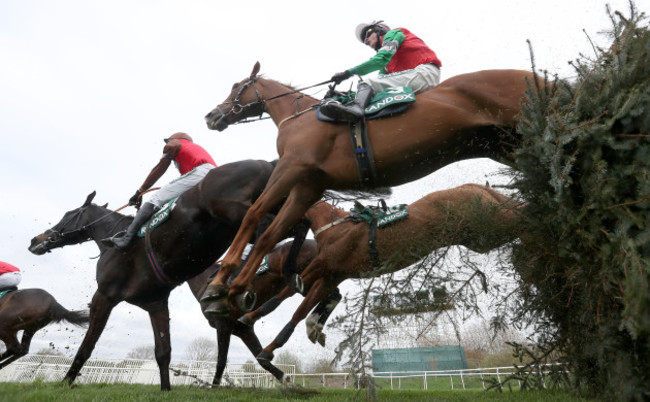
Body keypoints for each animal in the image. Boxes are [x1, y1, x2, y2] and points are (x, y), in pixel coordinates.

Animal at [26, 159, 304, 390]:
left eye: (68, 214)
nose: (34, 240)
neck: (111, 238)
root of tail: (265, 163)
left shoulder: (104, 295)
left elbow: (88, 344)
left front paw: (66, 382)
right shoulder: (155, 303)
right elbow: (163, 351)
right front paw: (166, 389)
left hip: (241, 212)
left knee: (277, 229)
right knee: (298, 224)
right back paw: (288, 275)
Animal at [201, 62, 536, 314]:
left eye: (236, 86)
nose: (211, 115)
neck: (299, 117)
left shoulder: (291, 168)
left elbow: (254, 215)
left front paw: (219, 283)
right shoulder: (308, 186)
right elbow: (270, 235)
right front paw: (238, 288)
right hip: (504, 144)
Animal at [235, 183, 520, 362]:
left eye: (275, 210)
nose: (258, 237)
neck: (334, 226)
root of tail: (475, 187)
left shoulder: (323, 266)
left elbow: (287, 300)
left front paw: (254, 325)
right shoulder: (331, 274)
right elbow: (298, 307)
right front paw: (269, 338)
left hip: (492, 225)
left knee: (523, 216)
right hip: (483, 235)